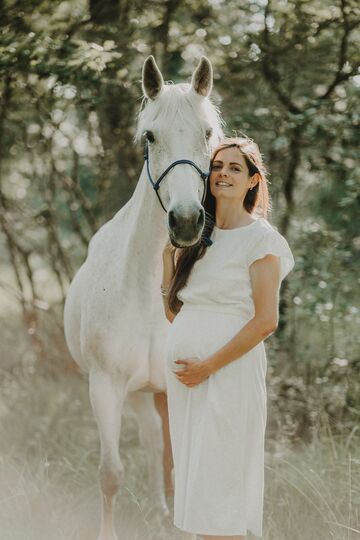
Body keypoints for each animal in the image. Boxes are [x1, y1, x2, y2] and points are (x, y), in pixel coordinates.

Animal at [63, 53, 224, 540]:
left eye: (207, 132)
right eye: (150, 136)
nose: (187, 221)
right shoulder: (106, 388)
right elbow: (111, 473)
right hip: (136, 392)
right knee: (153, 440)